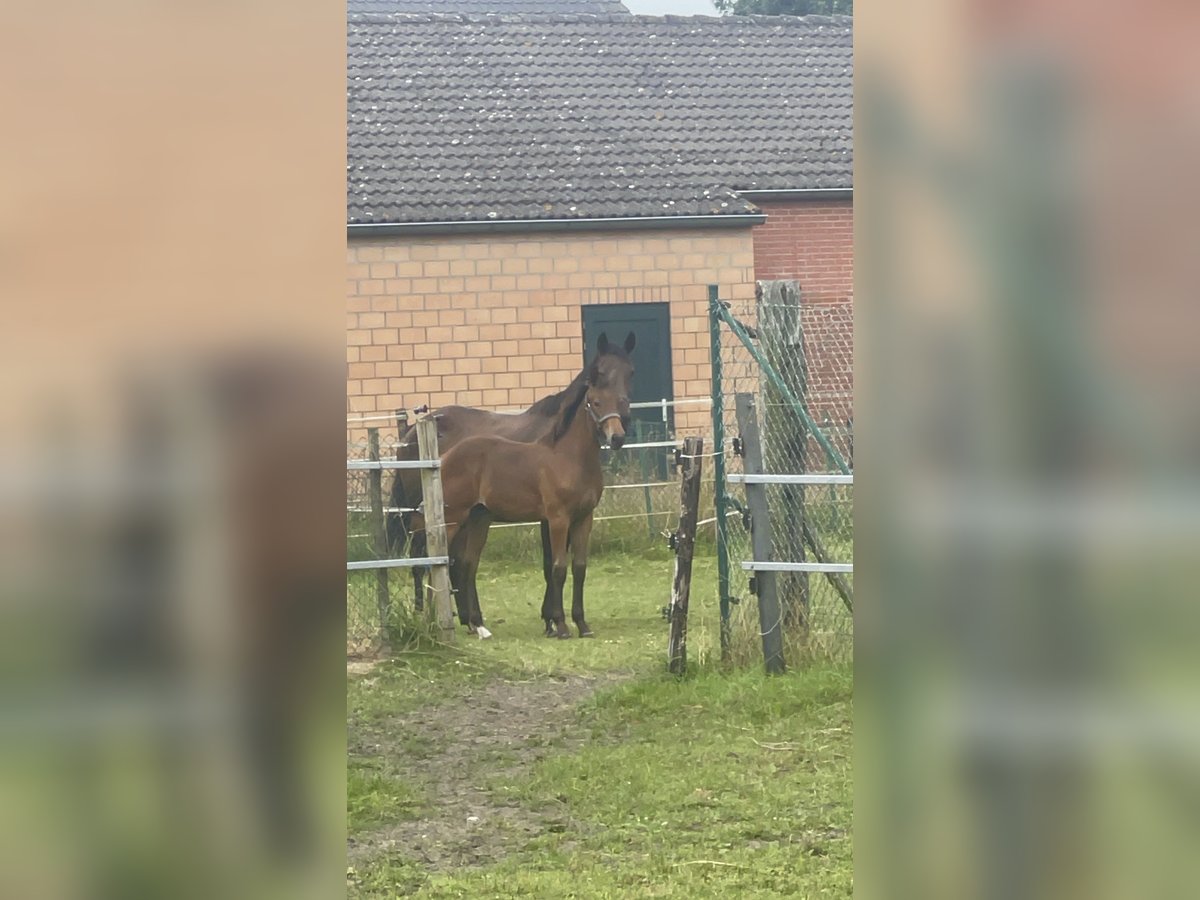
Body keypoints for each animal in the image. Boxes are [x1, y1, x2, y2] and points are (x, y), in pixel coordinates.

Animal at [391, 331, 638, 633]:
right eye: (599, 376)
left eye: (631, 372)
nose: (618, 435)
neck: (567, 455)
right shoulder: (556, 518)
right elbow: (555, 566)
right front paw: (556, 623)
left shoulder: (583, 517)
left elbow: (578, 567)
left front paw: (578, 622)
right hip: (440, 516)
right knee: (428, 558)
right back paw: (430, 617)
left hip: (475, 518)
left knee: (460, 562)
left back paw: (472, 621)